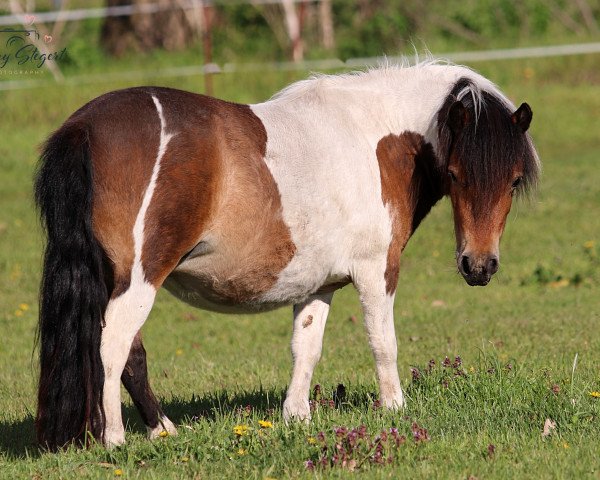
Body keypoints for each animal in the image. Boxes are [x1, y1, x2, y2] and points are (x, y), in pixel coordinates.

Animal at [32, 62, 540, 448]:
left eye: (514, 180)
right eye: (454, 174)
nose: (479, 266)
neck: (376, 137)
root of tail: (83, 127)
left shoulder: (320, 284)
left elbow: (306, 348)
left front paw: (297, 416)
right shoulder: (376, 271)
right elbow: (383, 343)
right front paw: (395, 409)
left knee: (129, 353)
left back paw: (162, 430)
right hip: (139, 278)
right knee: (114, 346)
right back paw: (115, 439)